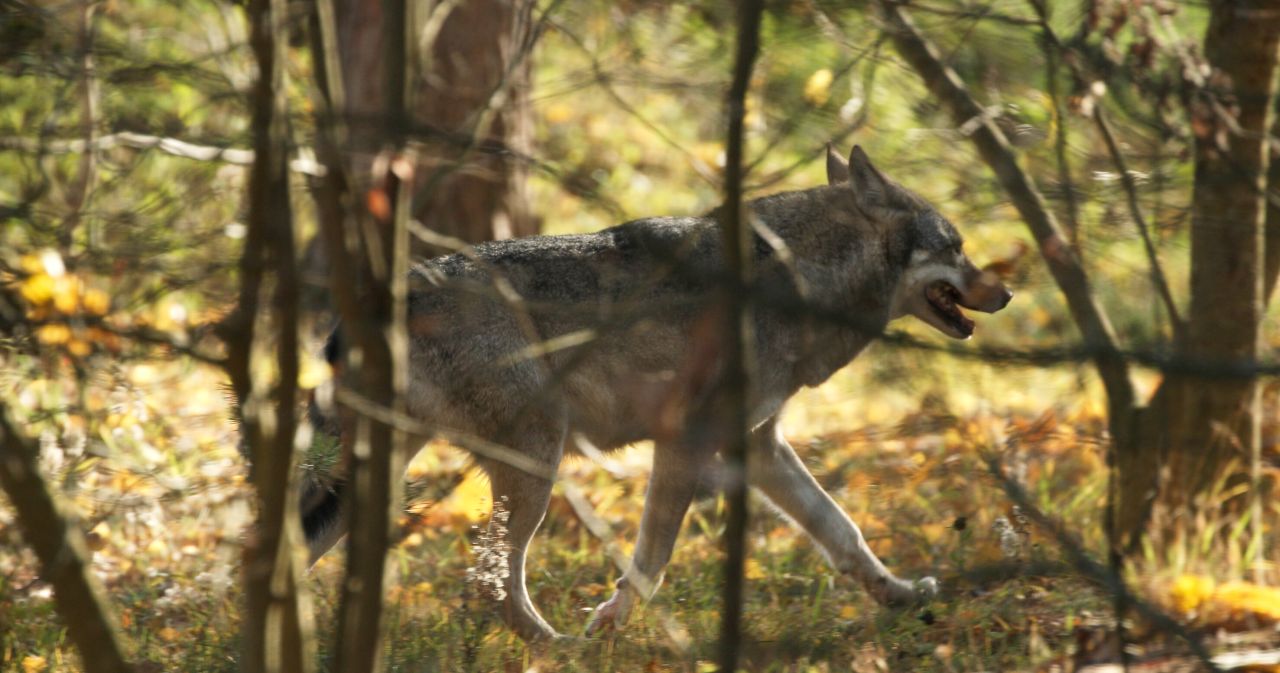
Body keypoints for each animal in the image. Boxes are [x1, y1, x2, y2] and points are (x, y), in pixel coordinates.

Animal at [299, 145, 1012, 641]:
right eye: (957, 247)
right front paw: (613, 622)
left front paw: (903, 596)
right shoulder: (685, 441)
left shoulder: (759, 446)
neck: (795, 278)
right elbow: (652, 559)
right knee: (491, 579)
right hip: (534, 466)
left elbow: (845, 534)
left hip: (376, 481)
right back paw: (562, 648)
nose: (1007, 292)